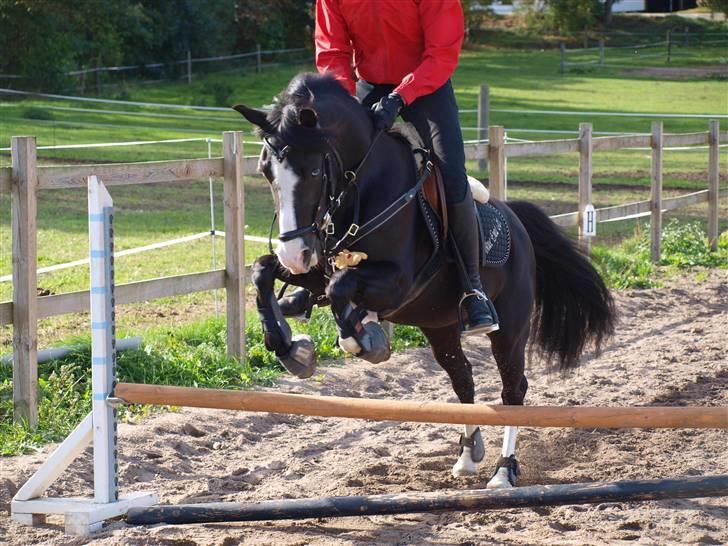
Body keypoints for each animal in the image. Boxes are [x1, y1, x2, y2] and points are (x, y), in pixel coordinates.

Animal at [234, 73, 616, 488]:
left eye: (314, 172)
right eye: (266, 172)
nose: (294, 254)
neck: (363, 188)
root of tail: (515, 220)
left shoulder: (395, 282)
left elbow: (341, 290)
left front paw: (365, 340)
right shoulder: (320, 266)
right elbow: (263, 271)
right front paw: (291, 347)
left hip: (510, 327)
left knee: (513, 388)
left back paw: (503, 471)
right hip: (439, 325)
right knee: (463, 377)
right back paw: (467, 456)